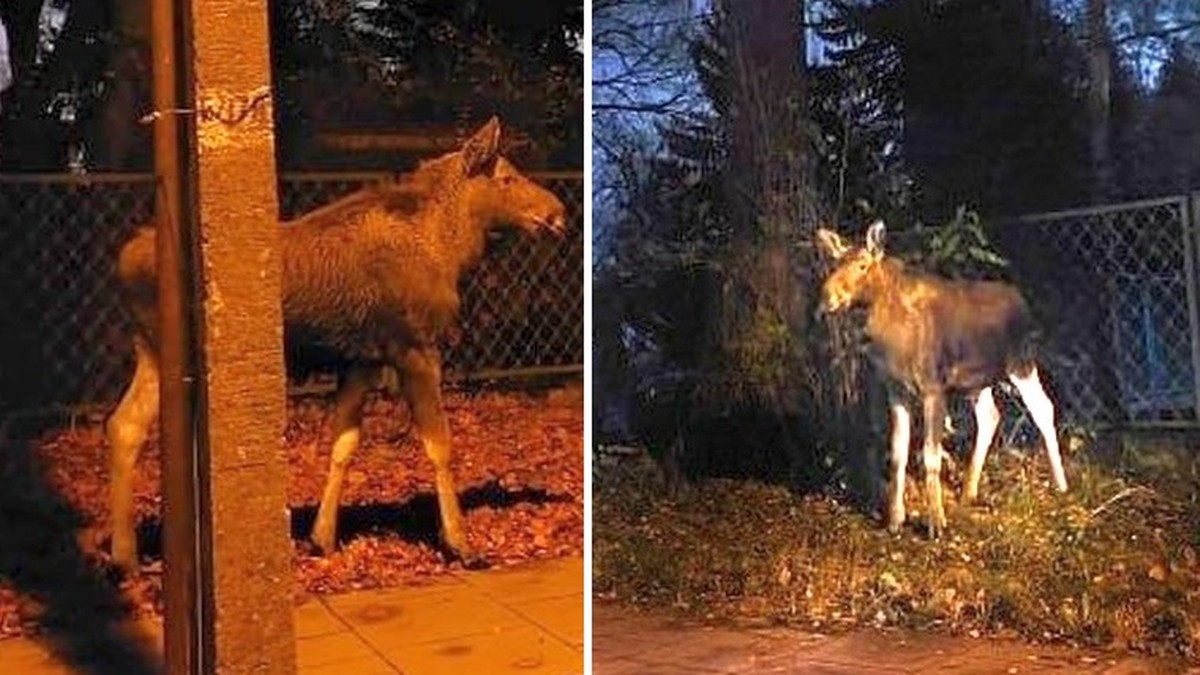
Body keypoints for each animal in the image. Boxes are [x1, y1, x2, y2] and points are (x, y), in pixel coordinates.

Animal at [106, 115, 566, 566]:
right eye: (506, 178)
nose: (557, 213)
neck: (449, 246)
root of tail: (122, 262)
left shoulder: (363, 358)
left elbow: (343, 443)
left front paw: (322, 537)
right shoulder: (414, 346)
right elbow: (440, 444)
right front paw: (460, 543)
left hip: (150, 351)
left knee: (124, 424)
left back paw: (124, 555)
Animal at [816, 220, 1070, 535]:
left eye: (863, 265)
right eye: (834, 263)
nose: (827, 298)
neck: (891, 339)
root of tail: (1023, 302)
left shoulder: (933, 386)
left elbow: (930, 456)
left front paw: (936, 523)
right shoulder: (896, 389)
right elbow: (898, 453)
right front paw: (895, 519)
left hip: (1021, 362)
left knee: (1044, 408)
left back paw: (1061, 485)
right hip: (977, 381)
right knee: (991, 415)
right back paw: (969, 492)